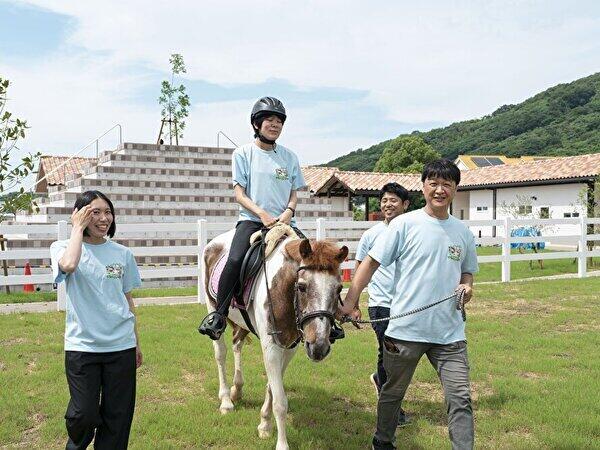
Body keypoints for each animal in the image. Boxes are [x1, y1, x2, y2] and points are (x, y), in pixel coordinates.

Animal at [204, 229, 350, 450]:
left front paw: (264, 424)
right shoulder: (272, 347)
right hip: (213, 310)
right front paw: (281, 443)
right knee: (220, 354)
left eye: (339, 288)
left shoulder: (290, 347)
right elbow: (280, 402)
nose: (319, 347)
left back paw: (237, 389)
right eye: (302, 286)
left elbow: (273, 387)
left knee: (237, 343)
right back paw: (226, 401)